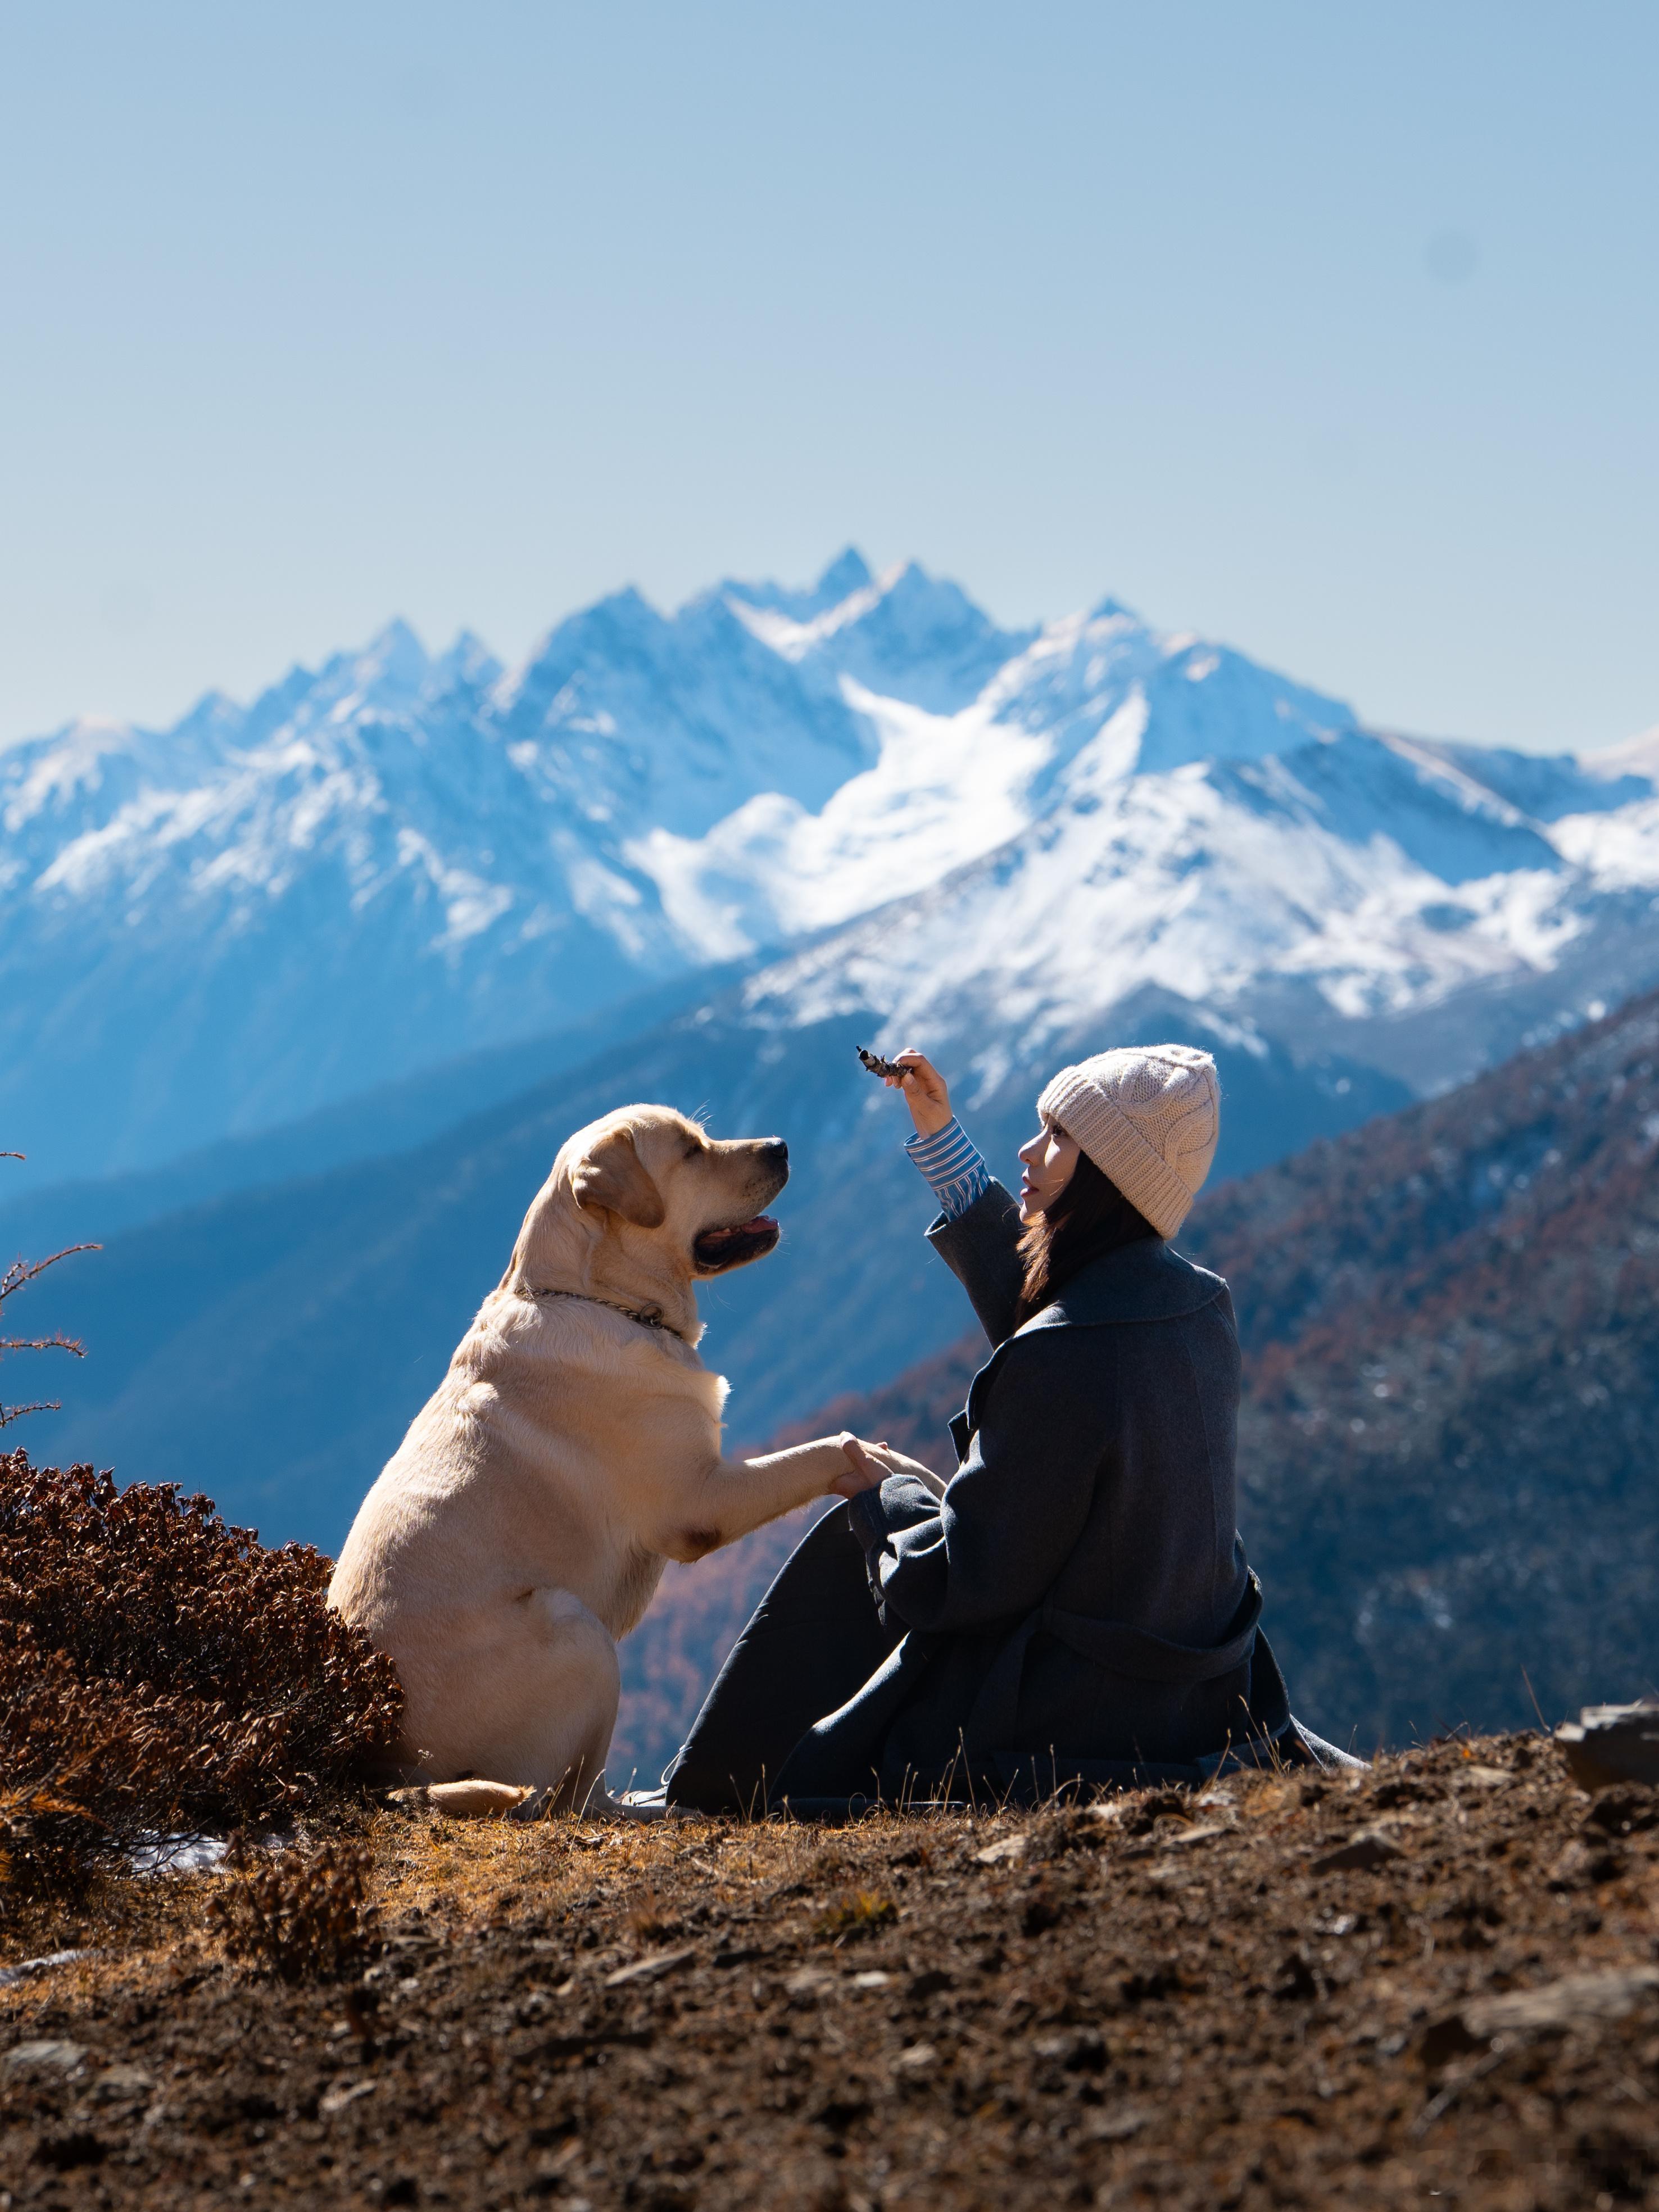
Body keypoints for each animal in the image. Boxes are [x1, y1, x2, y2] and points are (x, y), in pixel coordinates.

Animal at [334, 1106, 863, 1814]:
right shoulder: (703, 1503)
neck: (593, 1297)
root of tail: (380, 1767)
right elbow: (833, 1448)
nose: (781, 1146)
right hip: (576, 1627)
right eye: (690, 1153)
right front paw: (901, 1469)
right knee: (569, 1800)